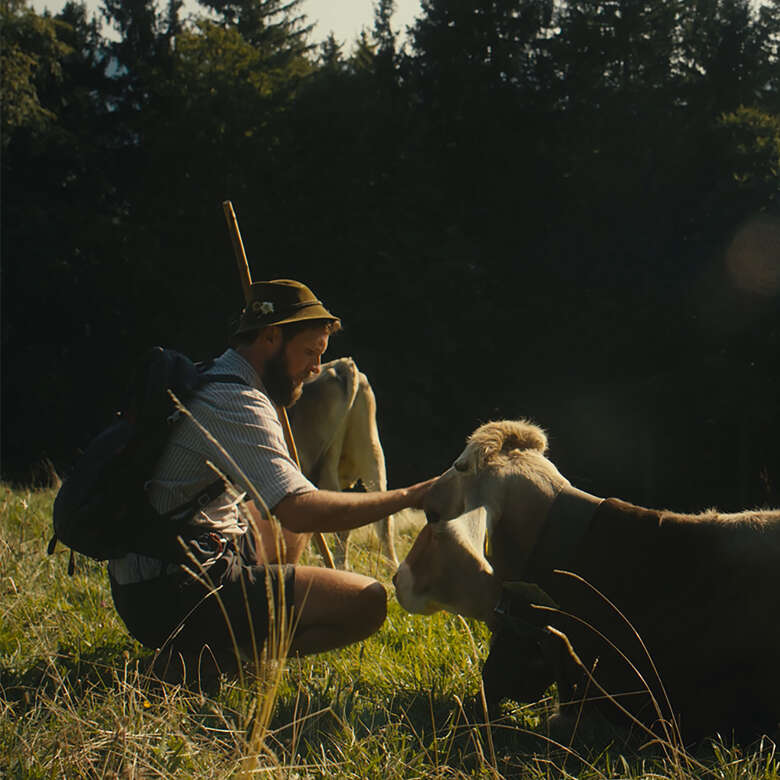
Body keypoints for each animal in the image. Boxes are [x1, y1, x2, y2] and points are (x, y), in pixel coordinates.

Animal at [286, 358, 396, 568]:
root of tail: (341, 364)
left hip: (321, 464)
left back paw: (338, 565)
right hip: (372, 453)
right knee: (384, 522)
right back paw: (392, 566)